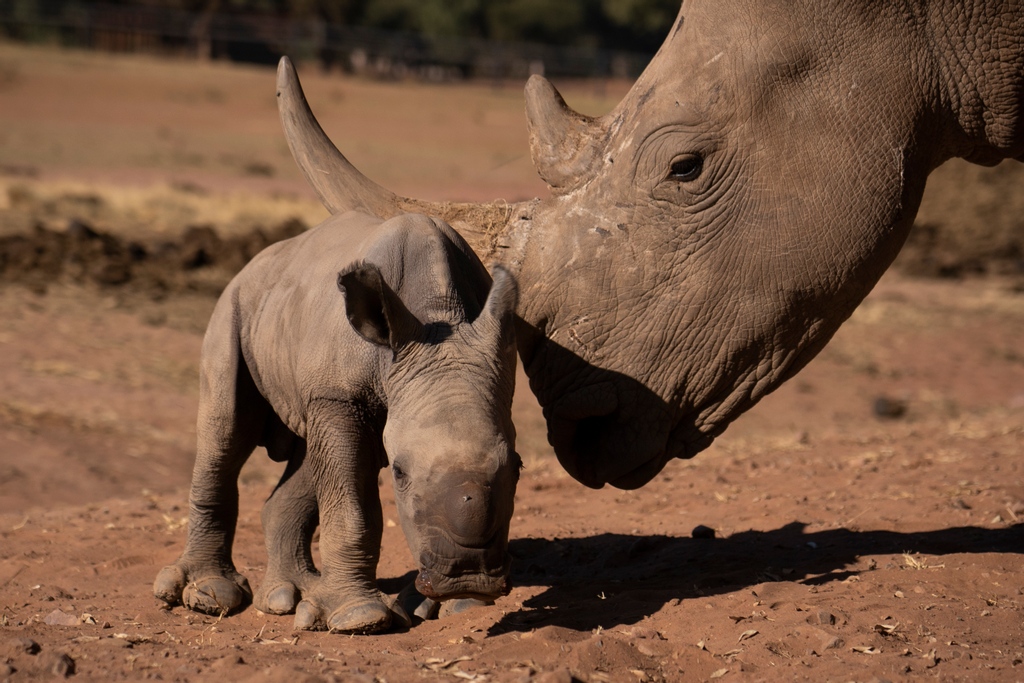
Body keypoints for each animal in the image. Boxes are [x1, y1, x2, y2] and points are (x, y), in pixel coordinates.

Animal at [153, 211, 520, 633]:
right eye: (399, 473)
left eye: (518, 468)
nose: (469, 577)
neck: (439, 313)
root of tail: (253, 264)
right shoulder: (338, 395)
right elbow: (353, 508)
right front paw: (359, 618)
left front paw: (460, 608)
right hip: (232, 309)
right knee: (226, 434)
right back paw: (209, 597)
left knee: (308, 457)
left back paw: (287, 597)